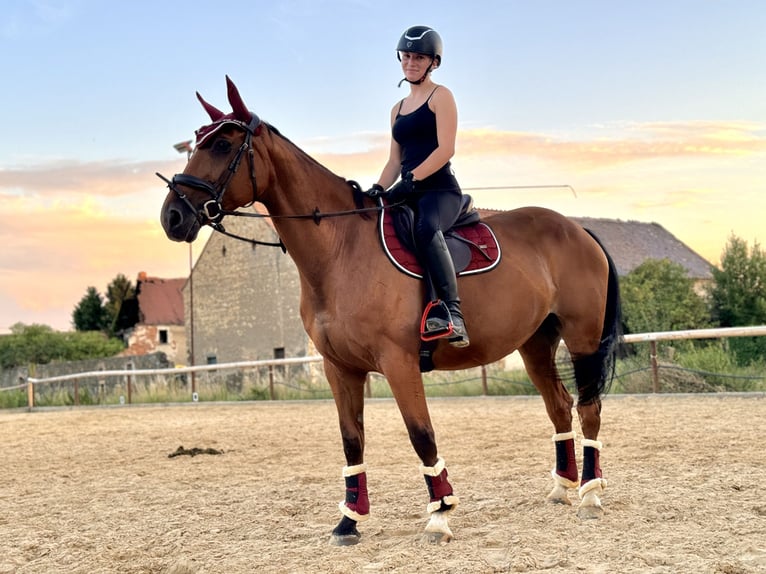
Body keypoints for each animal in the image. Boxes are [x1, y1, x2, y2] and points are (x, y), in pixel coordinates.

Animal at [159, 77, 620, 548]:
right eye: (196, 142)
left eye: (223, 144)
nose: (172, 217)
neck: (341, 249)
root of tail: (577, 229)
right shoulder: (340, 368)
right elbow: (352, 441)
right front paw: (349, 521)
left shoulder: (399, 363)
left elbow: (422, 435)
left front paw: (440, 516)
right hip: (535, 343)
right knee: (559, 406)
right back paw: (561, 488)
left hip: (581, 337)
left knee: (589, 409)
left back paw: (590, 496)